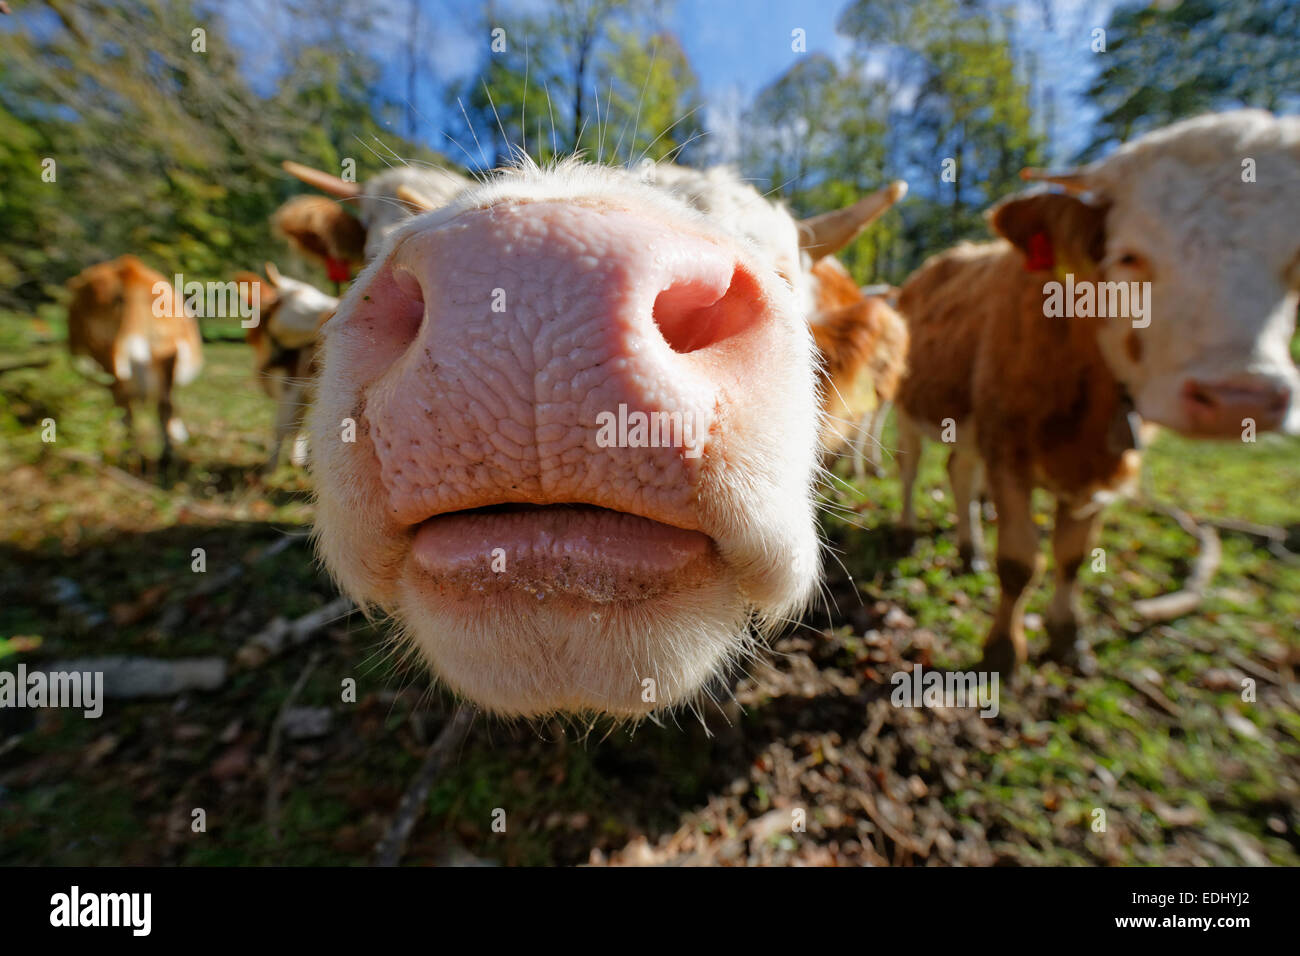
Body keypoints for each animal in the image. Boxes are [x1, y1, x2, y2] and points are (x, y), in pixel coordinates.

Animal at [66, 254, 202, 463]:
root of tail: (128, 274)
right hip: (162, 349)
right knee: (162, 403)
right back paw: (165, 454)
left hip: (110, 358)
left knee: (129, 408)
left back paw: (131, 454)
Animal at [233, 264, 338, 473]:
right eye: (297, 295)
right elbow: (297, 425)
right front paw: (297, 460)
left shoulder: (290, 385)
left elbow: (282, 426)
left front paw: (269, 471)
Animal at [894, 111, 1300, 676]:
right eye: (1128, 256)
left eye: (1296, 261)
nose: (1240, 399)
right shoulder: (1010, 454)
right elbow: (1019, 562)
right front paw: (1003, 651)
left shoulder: (1097, 469)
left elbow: (1072, 558)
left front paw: (1068, 637)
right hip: (909, 407)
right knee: (911, 469)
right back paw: (908, 531)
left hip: (970, 422)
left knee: (958, 471)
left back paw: (967, 549)